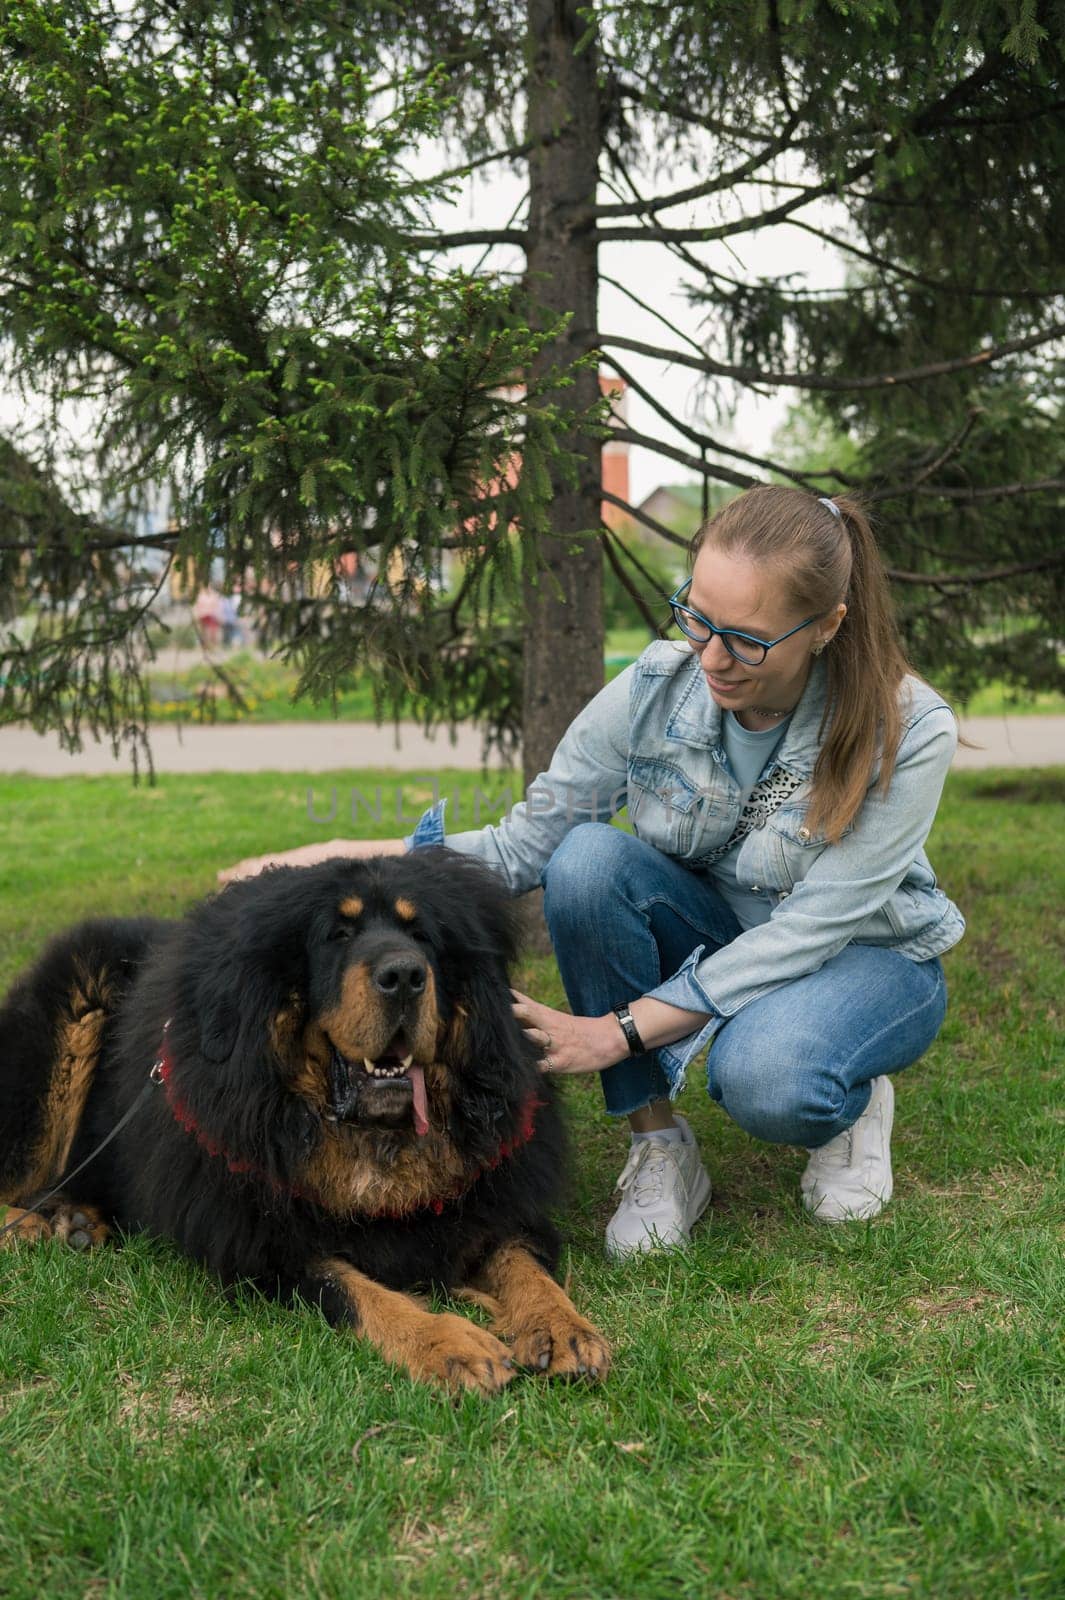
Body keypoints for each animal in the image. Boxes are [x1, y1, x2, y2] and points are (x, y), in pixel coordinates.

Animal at [0, 851, 610, 1388]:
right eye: (336, 935)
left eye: (422, 936)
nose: (405, 976)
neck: (366, 1135)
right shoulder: (262, 1246)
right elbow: (356, 1290)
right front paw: (449, 1343)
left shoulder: (490, 1202)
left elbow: (522, 1262)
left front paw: (560, 1327)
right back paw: (33, 1224)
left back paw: (77, 1220)